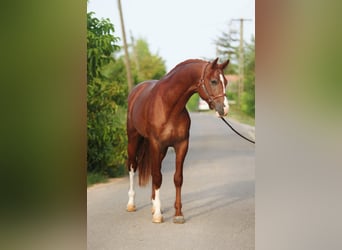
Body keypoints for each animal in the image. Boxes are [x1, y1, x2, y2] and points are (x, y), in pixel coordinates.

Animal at [126, 58, 230, 223]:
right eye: (213, 81)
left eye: (225, 81)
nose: (224, 109)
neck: (169, 106)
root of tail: (136, 91)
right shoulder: (156, 144)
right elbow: (158, 177)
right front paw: (158, 216)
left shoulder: (181, 145)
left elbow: (177, 178)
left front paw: (178, 214)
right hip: (133, 139)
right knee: (132, 166)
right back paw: (131, 204)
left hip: (160, 151)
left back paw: (154, 205)